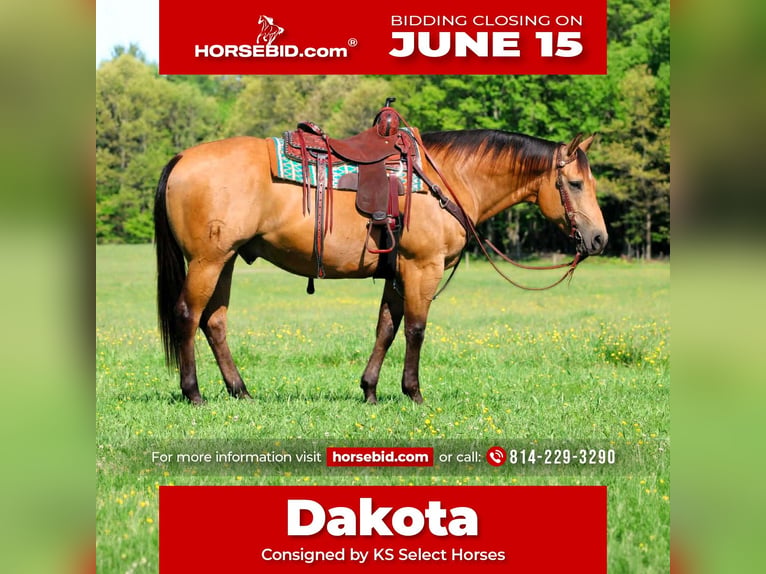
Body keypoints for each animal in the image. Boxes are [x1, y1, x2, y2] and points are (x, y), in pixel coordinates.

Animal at [154, 122, 607, 406]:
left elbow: (386, 328)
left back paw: (240, 390)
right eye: (575, 183)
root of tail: (181, 158)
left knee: (214, 322)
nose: (599, 239)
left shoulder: (397, 271)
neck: (446, 179)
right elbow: (415, 330)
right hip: (208, 261)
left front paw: (369, 390)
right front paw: (414, 392)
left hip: (226, 259)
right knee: (188, 315)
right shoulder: (422, 268)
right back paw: (193, 392)